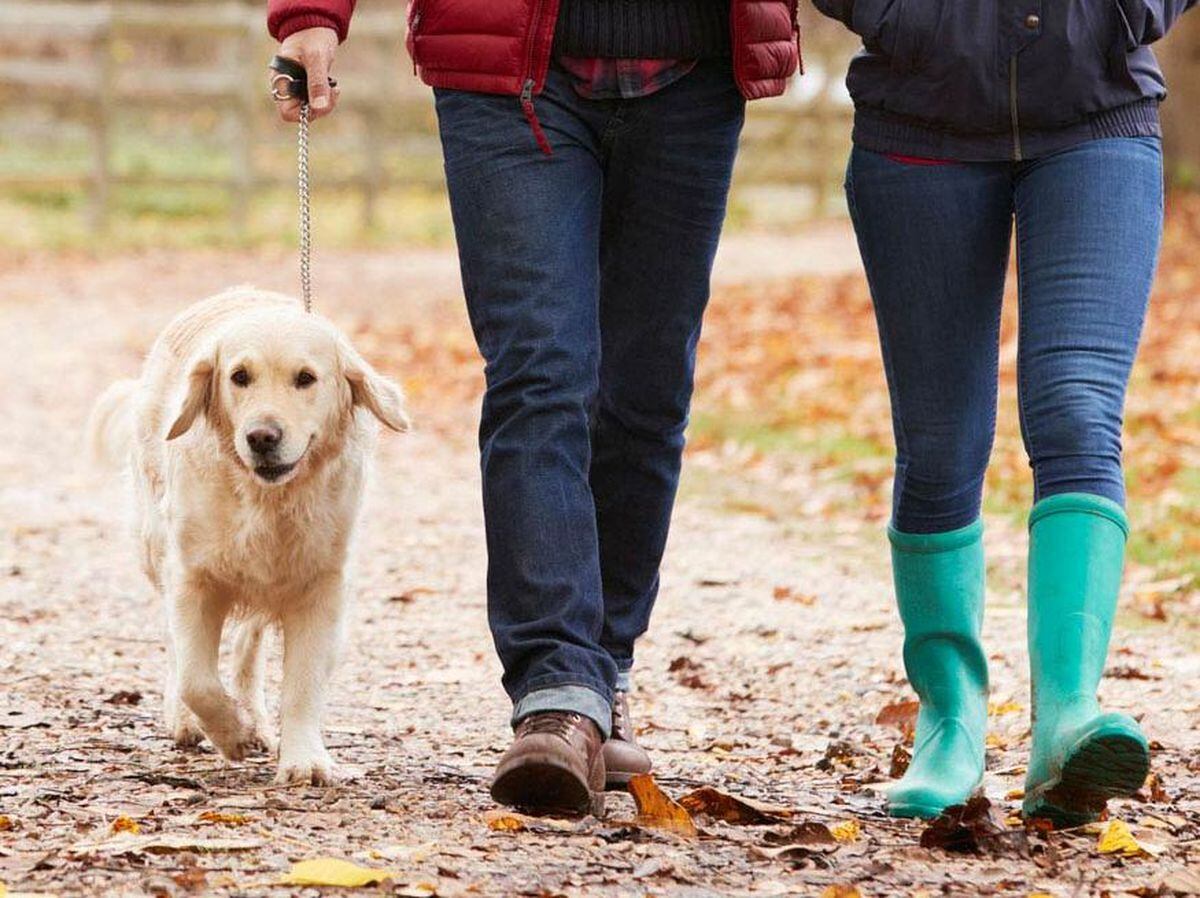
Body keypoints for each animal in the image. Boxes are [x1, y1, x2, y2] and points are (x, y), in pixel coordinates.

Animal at [85, 284, 408, 782]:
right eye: (239, 376)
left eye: (305, 378)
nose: (262, 436)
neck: (267, 500)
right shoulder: (192, 577)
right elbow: (196, 678)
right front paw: (229, 733)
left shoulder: (321, 585)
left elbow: (302, 684)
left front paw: (303, 759)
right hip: (155, 547)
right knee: (178, 650)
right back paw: (192, 721)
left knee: (247, 648)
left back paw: (255, 718)